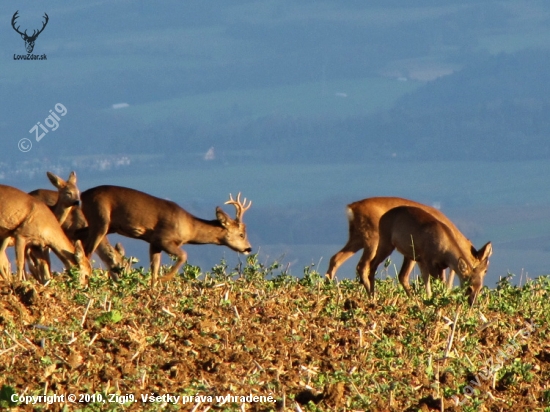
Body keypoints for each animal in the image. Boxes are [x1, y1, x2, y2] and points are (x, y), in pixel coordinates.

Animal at [80, 187, 254, 286]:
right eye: (241, 234)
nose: (248, 248)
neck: (189, 228)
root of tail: (83, 194)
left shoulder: (153, 242)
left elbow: (154, 268)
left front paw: (152, 289)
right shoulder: (163, 238)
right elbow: (184, 255)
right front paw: (164, 280)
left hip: (106, 226)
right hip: (101, 219)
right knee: (87, 251)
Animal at [326, 197, 494, 296]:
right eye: (485, 269)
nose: (477, 289)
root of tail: (352, 208)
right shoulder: (418, 254)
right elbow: (408, 276)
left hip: (357, 238)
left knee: (336, 259)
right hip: (373, 240)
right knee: (363, 266)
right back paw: (372, 295)